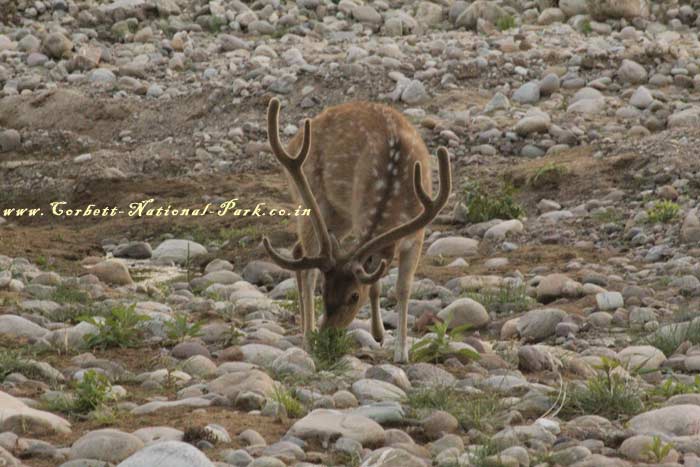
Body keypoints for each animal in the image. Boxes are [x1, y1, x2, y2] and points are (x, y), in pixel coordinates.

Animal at [260, 98, 452, 362]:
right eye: (324, 290)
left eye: (353, 296)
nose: (327, 337)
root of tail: (294, 141)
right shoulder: (361, 220)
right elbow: (376, 283)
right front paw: (380, 335)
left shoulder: (418, 235)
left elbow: (402, 288)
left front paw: (400, 351)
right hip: (315, 200)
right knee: (307, 265)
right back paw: (307, 337)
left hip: (340, 216)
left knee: (299, 251)